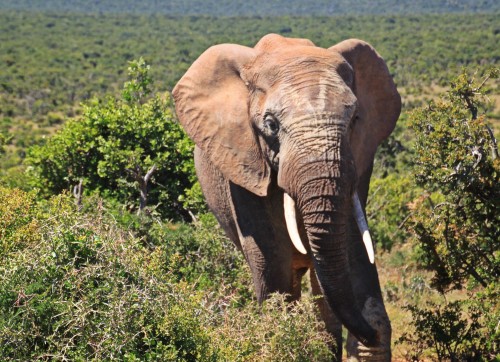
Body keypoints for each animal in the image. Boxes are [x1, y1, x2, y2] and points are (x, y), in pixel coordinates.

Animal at [174, 33, 400, 360]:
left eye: (355, 118)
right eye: (271, 125)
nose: (371, 335)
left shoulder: (359, 161)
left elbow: (353, 251)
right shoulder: (243, 166)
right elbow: (273, 267)